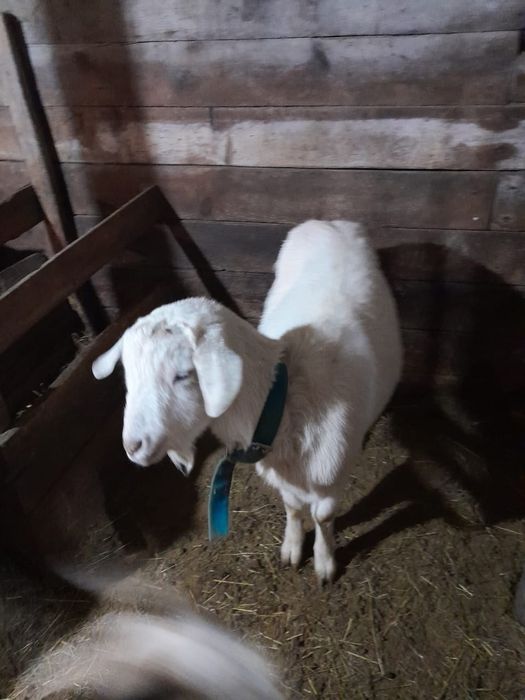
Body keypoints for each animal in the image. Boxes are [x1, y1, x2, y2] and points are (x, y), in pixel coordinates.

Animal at [92, 220, 402, 582]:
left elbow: (323, 517)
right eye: (128, 375)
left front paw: (325, 563)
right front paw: (292, 548)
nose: (133, 445)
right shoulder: (284, 475)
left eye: (183, 374)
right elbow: (293, 507)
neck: (283, 403)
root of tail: (330, 221)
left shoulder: (331, 474)